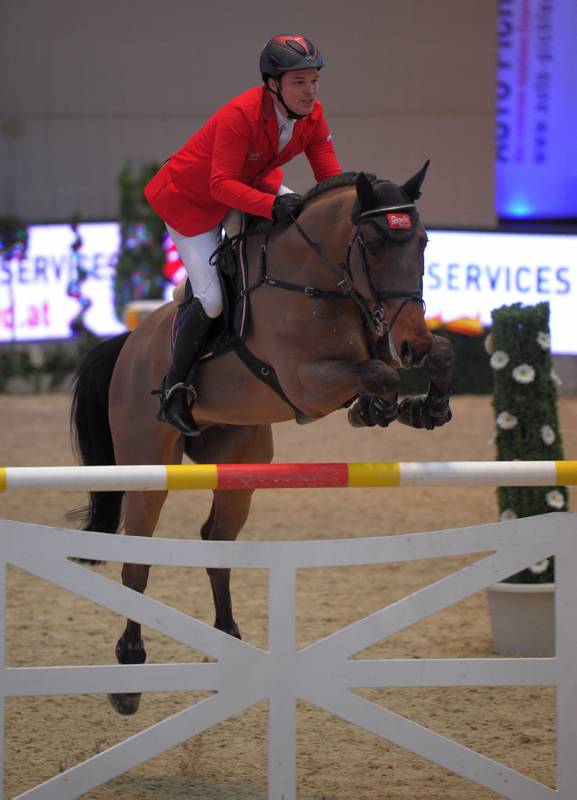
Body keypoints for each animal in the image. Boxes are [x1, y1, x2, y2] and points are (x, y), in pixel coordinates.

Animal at [70, 162, 452, 712]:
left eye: (422, 242)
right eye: (375, 245)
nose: (412, 344)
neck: (322, 281)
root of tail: (129, 343)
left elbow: (435, 355)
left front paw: (426, 406)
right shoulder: (305, 383)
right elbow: (378, 373)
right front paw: (376, 407)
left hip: (240, 463)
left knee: (216, 544)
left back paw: (227, 645)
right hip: (148, 467)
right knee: (136, 563)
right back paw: (128, 675)